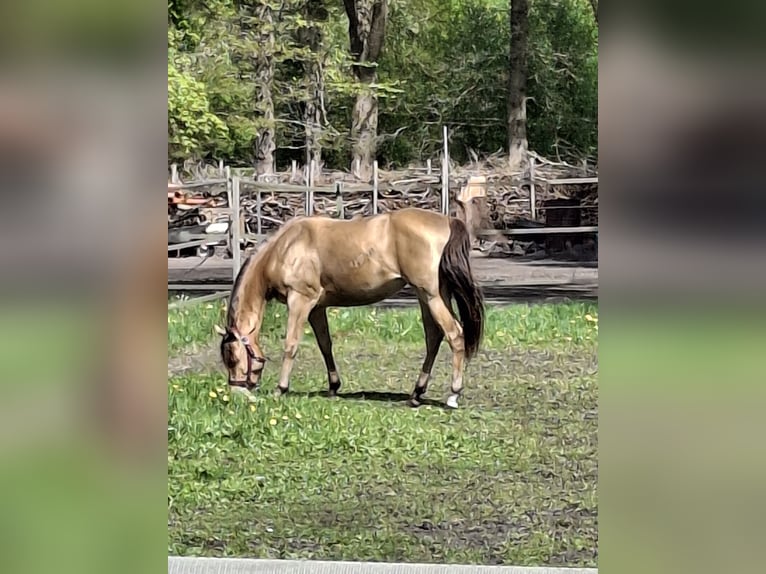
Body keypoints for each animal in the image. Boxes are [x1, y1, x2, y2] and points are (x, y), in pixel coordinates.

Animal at [215, 207, 485, 409]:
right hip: (429, 295)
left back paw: (453, 394)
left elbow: (290, 345)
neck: (286, 246)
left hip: (431, 295)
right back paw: (417, 393)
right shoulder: (317, 308)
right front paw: (334, 386)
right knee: (434, 337)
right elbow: (325, 345)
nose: (236, 393)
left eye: (232, 357)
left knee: (454, 335)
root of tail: (448, 220)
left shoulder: (300, 300)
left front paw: (281, 389)